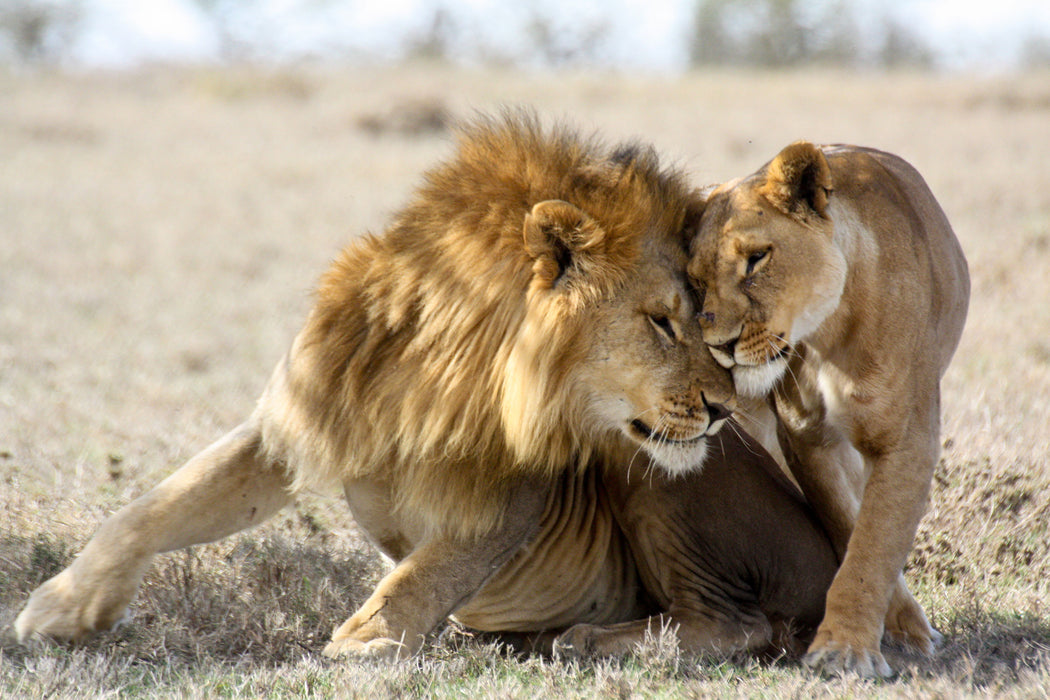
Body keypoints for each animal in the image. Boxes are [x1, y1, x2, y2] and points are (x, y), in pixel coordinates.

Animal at [16, 114, 835, 663]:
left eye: (703, 318)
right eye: (663, 322)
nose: (725, 408)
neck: (437, 371)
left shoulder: (516, 491)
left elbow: (426, 571)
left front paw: (363, 642)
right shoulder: (297, 420)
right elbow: (156, 507)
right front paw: (61, 608)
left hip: (649, 475)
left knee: (740, 623)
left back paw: (589, 637)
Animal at [688, 139, 965, 675]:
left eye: (756, 259)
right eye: (695, 282)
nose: (719, 345)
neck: (828, 333)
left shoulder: (905, 440)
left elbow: (873, 544)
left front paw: (846, 651)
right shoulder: (804, 437)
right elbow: (850, 525)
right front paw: (870, 635)